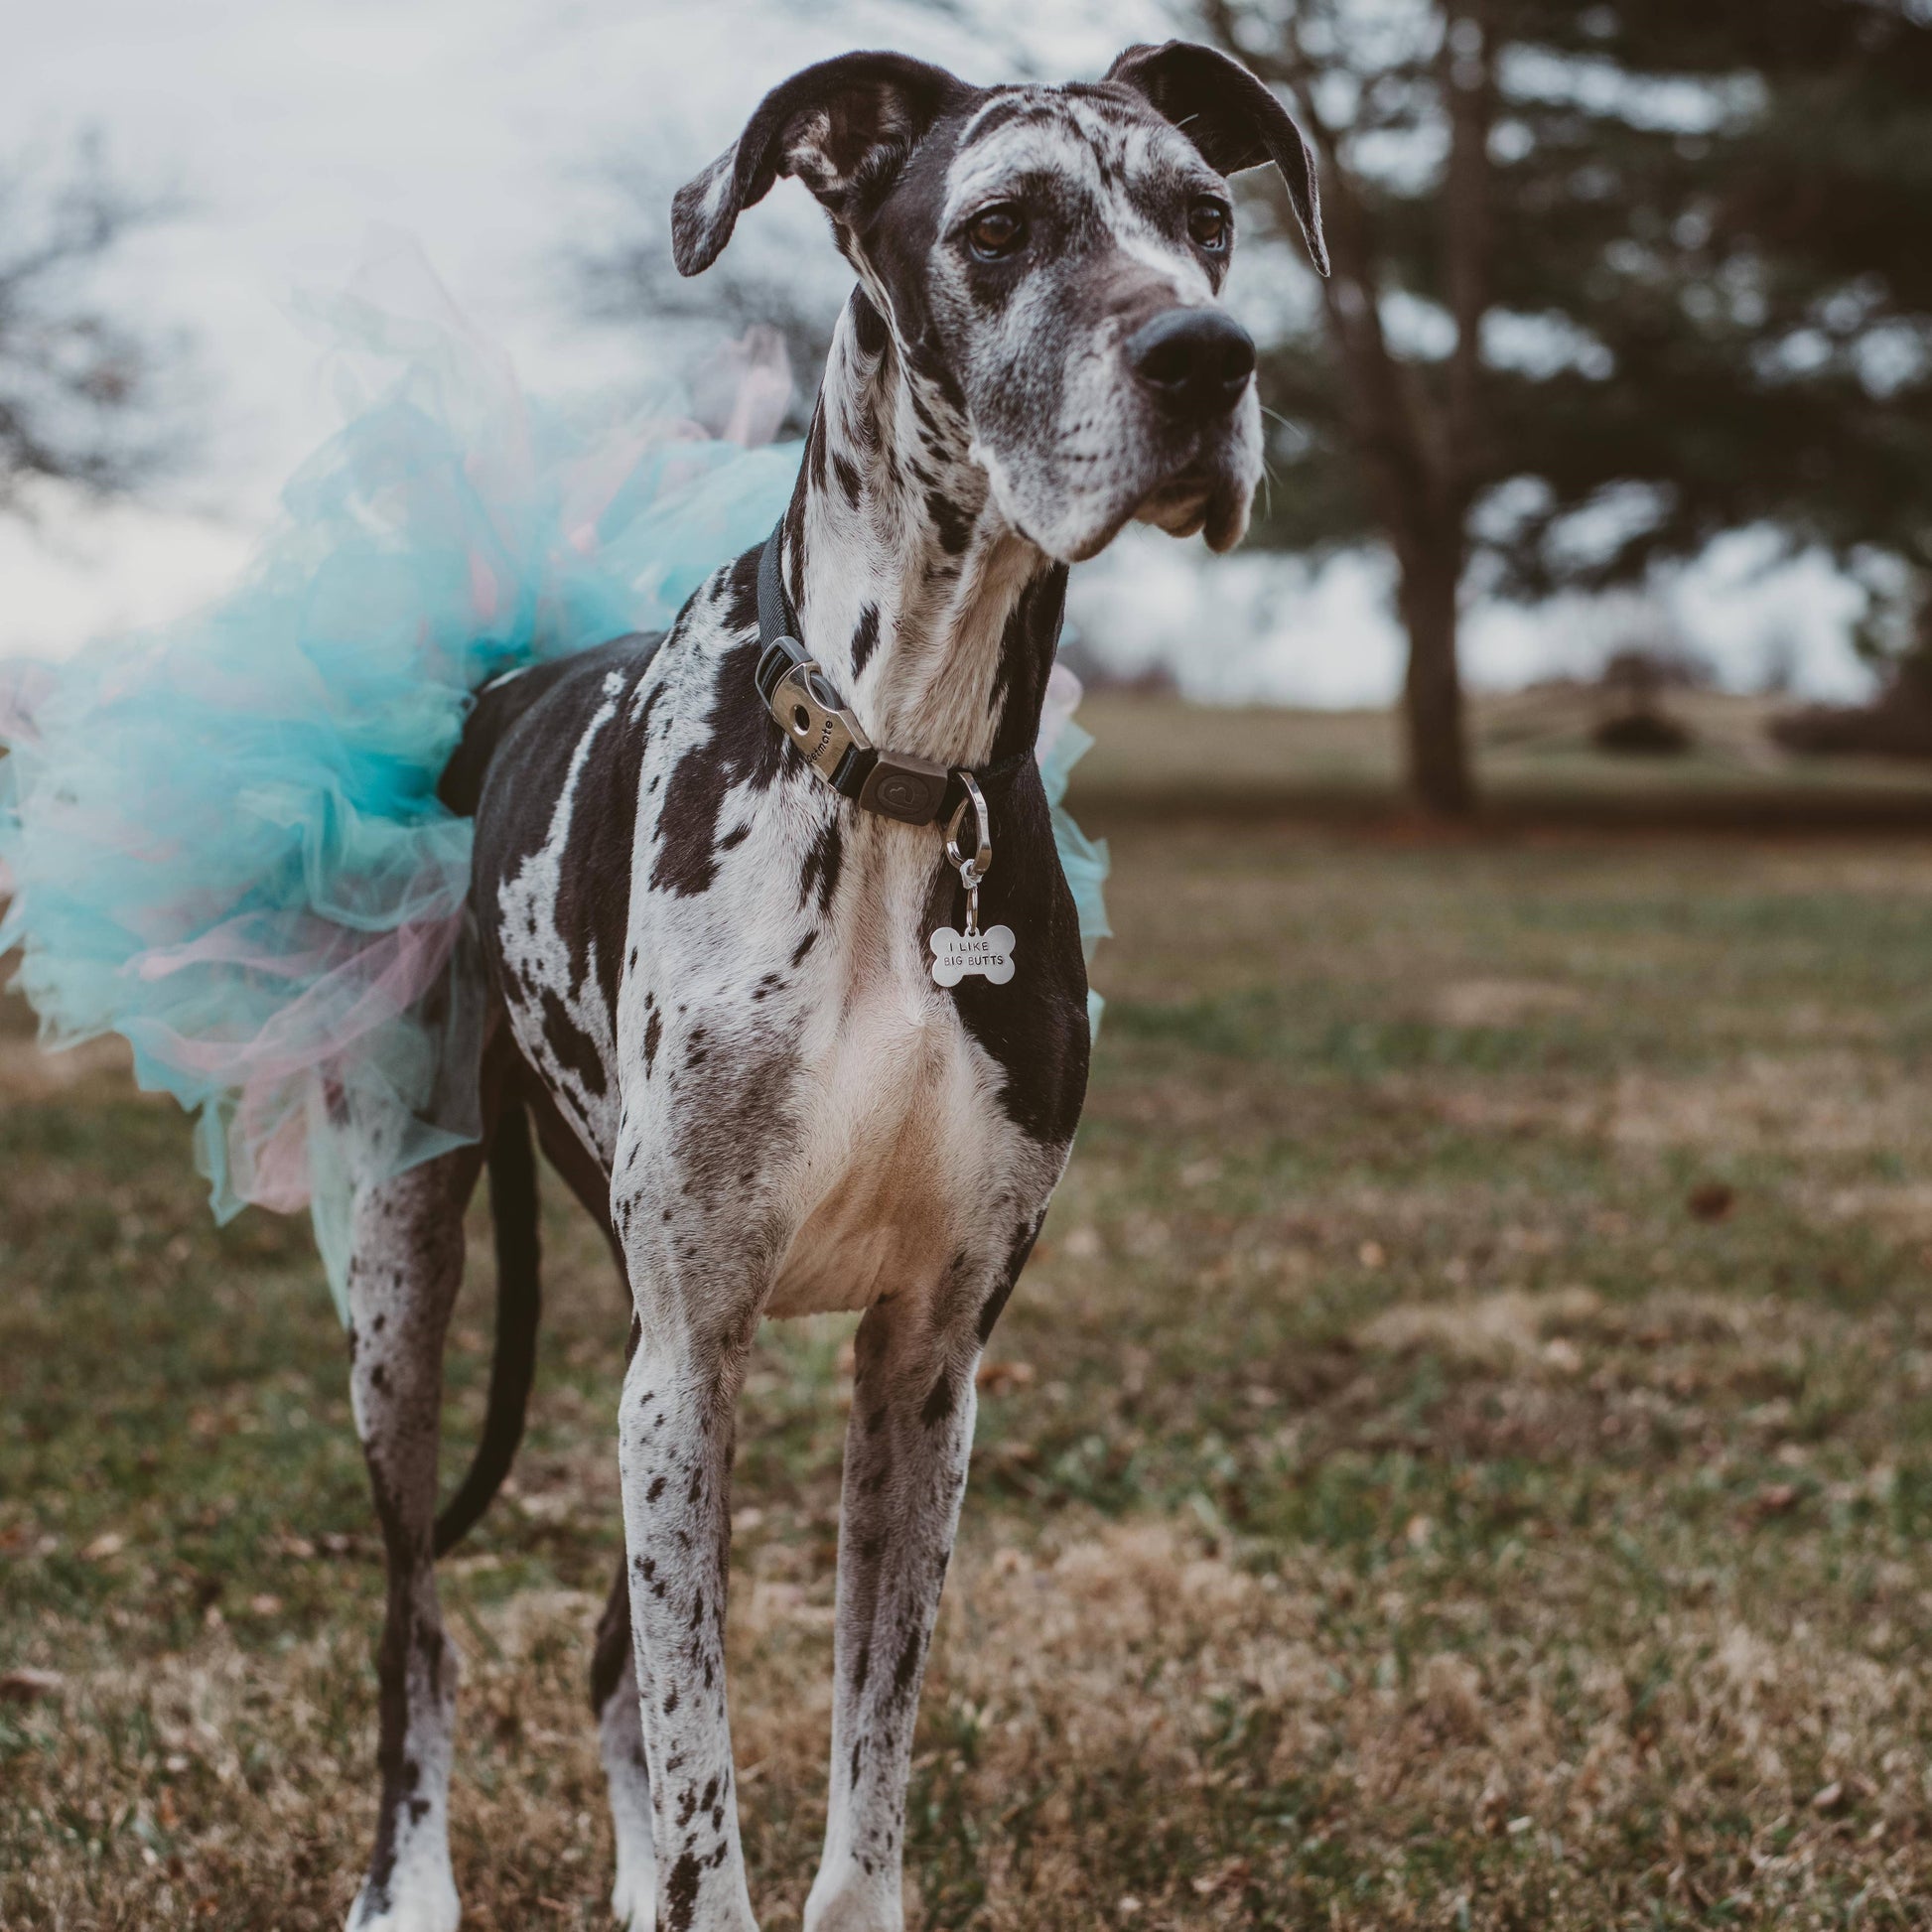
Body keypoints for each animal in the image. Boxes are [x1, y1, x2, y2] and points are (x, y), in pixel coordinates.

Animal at [336, 41, 1328, 1932]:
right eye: (1002, 227)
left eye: (1206, 217)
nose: (1206, 357)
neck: (900, 763)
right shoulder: (693, 1343)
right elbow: (710, 1780)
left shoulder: (922, 1365)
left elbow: (862, 1763)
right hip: (407, 1285)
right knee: (418, 1619)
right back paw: (407, 1882)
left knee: (610, 1665)